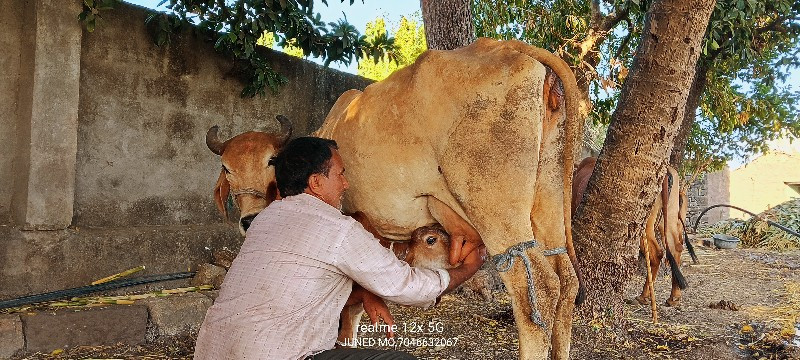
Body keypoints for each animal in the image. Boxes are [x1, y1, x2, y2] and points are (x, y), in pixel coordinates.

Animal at [572, 158, 696, 306]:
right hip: (668, 219)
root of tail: (666, 174)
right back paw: (673, 297)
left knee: (657, 253)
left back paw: (644, 296)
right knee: (675, 247)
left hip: (643, 227)